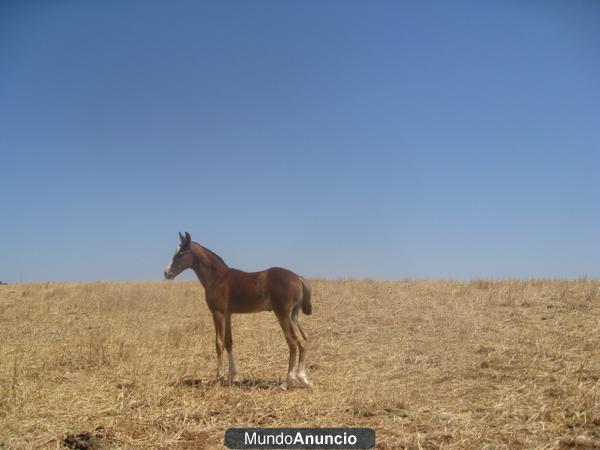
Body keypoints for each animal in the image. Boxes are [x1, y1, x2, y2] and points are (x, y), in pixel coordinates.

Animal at [164, 232, 314, 390]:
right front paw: (232, 374)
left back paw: (287, 382)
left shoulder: (218, 313)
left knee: (292, 342)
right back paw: (304, 379)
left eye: (181, 253)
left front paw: (220, 377)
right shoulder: (228, 314)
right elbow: (229, 341)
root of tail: (298, 277)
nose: (166, 273)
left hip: (283, 314)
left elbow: (219, 343)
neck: (218, 278)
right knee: (303, 340)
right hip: (293, 315)